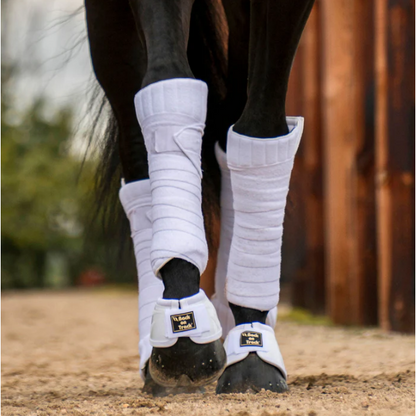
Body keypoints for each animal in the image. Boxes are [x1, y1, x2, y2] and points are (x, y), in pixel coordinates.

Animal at [83, 0, 314, 396]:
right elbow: (166, 82)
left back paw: (237, 324)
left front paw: (252, 350)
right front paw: (184, 340)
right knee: (137, 145)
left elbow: (261, 127)